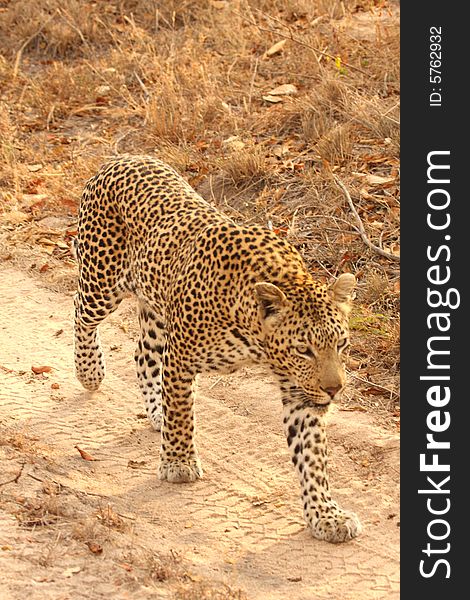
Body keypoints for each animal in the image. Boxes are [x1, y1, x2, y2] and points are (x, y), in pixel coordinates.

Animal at [73, 154, 362, 544]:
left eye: (341, 345)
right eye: (304, 350)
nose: (334, 389)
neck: (254, 336)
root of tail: (122, 158)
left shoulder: (300, 392)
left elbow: (312, 457)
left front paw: (326, 515)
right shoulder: (181, 357)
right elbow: (183, 413)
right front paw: (178, 463)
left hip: (156, 311)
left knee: (143, 355)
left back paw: (156, 413)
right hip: (102, 281)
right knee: (80, 311)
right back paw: (90, 372)